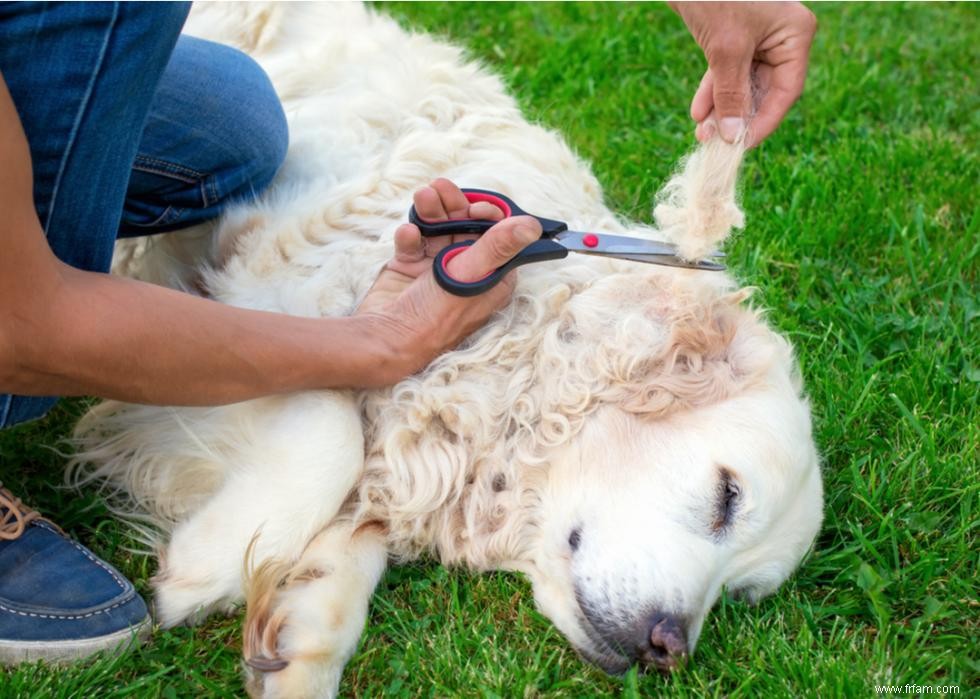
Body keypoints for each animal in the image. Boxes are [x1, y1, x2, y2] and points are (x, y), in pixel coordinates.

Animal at [69, 2, 824, 696]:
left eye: (738, 593)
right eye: (727, 496)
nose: (667, 649)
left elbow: (354, 531)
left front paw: (299, 636)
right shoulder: (250, 297)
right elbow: (332, 431)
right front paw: (208, 563)